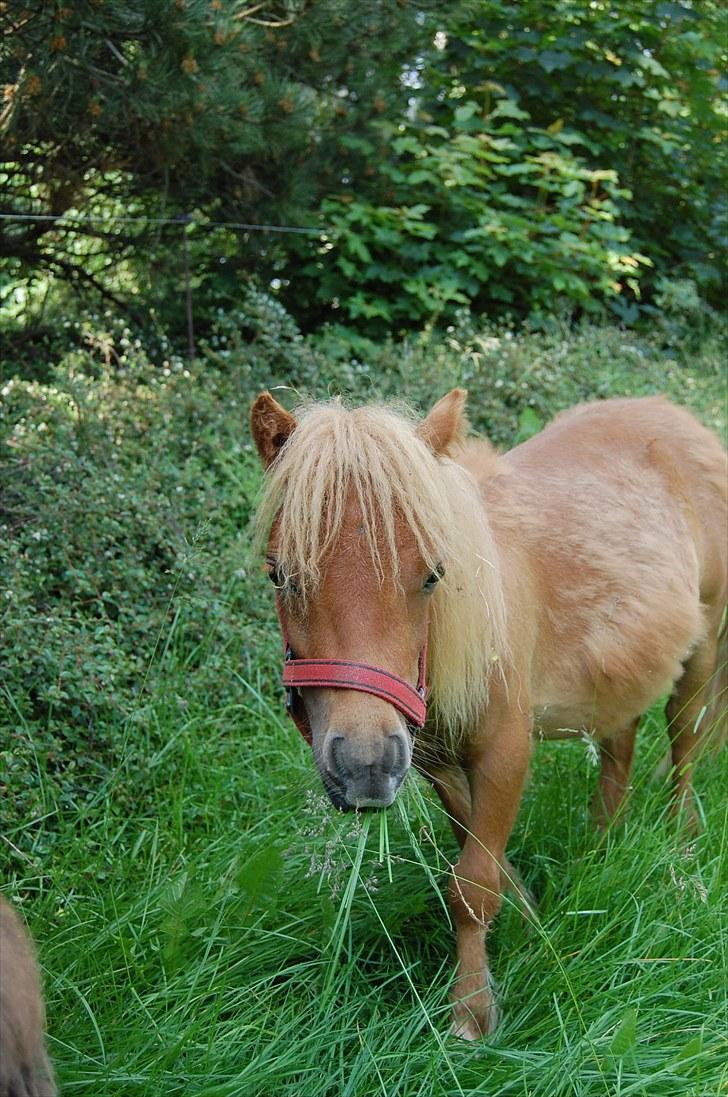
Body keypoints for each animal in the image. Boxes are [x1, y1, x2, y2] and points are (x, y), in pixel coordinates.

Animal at [252, 390, 728, 1039]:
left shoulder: (505, 751)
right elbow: (483, 860)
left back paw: (682, 847)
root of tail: (683, 422)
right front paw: (533, 927)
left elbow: (473, 884)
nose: (365, 765)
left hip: (701, 652)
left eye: (433, 574)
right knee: (621, 744)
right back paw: (603, 841)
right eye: (282, 574)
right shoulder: (438, 765)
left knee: (685, 747)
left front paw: (472, 1014)